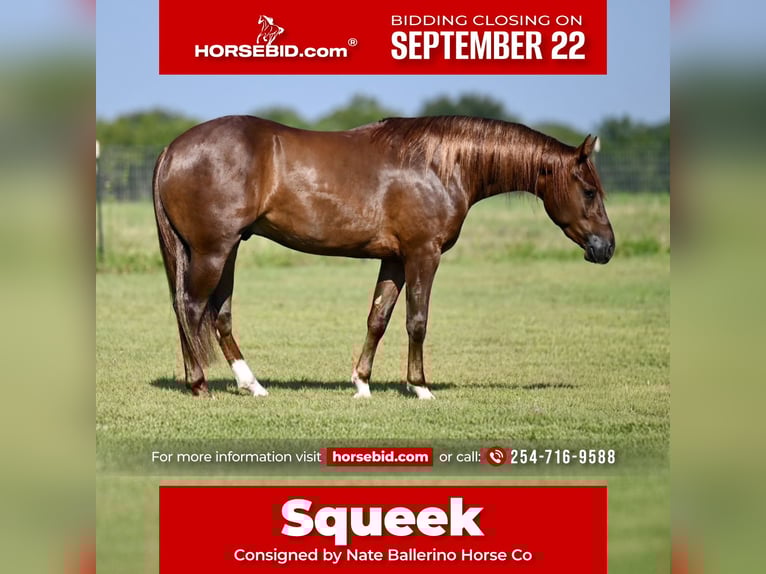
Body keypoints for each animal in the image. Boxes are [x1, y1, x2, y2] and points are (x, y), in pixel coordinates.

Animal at [153, 115, 615, 399]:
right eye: (590, 191)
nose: (606, 247)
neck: (439, 164)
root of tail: (173, 147)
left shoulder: (394, 260)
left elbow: (378, 317)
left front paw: (361, 383)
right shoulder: (423, 254)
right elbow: (417, 321)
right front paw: (421, 386)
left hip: (227, 250)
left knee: (219, 315)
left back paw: (252, 385)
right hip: (213, 251)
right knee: (190, 308)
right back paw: (200, 384)